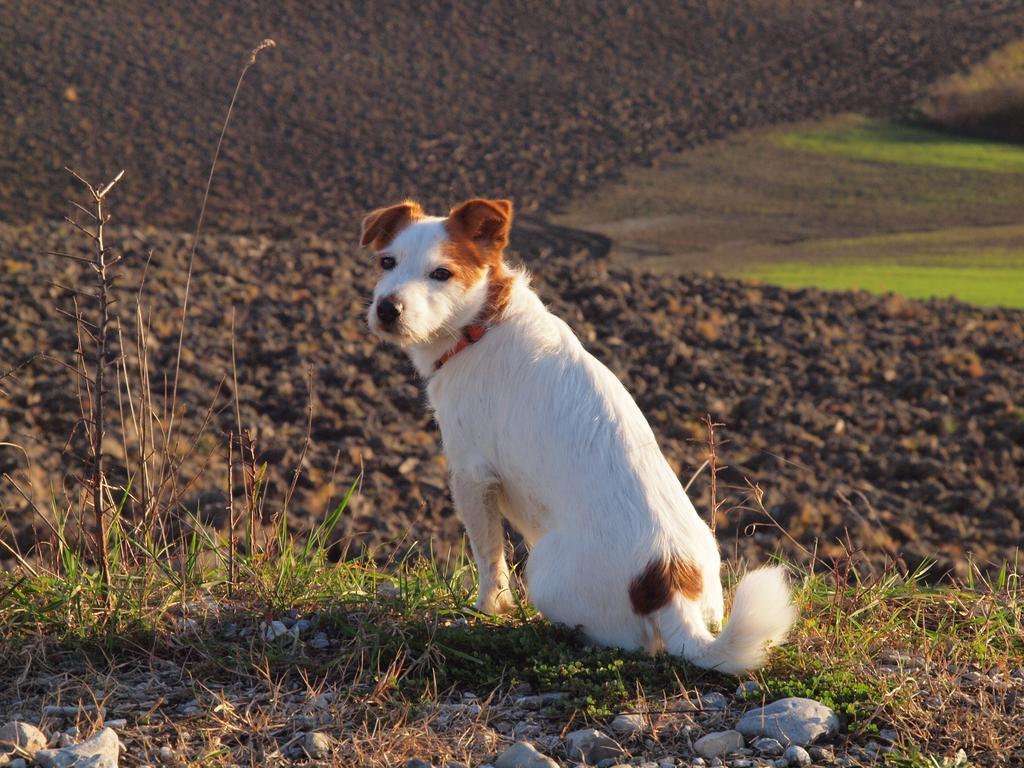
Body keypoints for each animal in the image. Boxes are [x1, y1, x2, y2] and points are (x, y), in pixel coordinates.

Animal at [364, 196, 794, 671]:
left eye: (442, 273)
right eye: (387, 262)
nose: (387, 309)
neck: (483, 322)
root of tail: (668, 586)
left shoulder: (472, 478)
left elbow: (489, 561)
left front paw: (486, 611)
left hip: (544, 571)